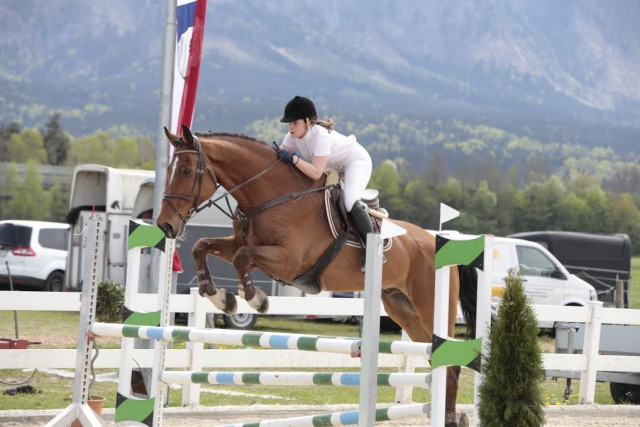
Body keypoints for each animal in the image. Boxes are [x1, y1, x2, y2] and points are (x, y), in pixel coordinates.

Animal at [155, 124, 476, 427]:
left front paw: (255, 299)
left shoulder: (288, 261)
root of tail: (440, 241)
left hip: (430, 307)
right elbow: (202, 246)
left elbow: (241, 258)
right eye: (168, 170)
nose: (166, 226)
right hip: (401, 307)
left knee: (450, 362)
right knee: (437, 358)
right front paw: (221, 297)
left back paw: (451, 418)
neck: (271, 196)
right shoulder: (240, 243)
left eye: (186, 170)